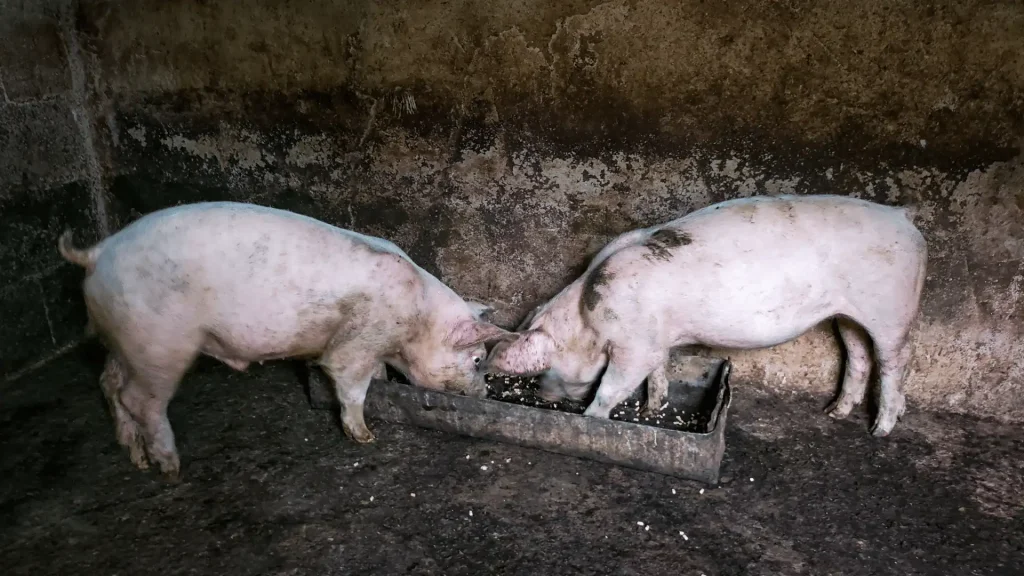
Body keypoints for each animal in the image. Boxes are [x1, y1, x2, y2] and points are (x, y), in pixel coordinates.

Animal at [58, 201, 512, 479]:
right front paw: (365, 437)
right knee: (140, 399)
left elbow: (378, 376)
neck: (415, 318)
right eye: (476, 359)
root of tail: (97, 253)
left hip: (123, 337)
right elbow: (350, 383)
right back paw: (169, 467)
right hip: (158, 340)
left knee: (108, 382)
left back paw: (135, 456)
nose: (486, 394)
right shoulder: (356, 341)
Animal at [487, 194, 927, 437]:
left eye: (546, 368)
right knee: (858, 353)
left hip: (893, 306)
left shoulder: (634, 345)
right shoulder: (656, 339)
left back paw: (880, 430)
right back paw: (834, 413)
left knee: (896, 359)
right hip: (848, 313)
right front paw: (651, 410)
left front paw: (594, 419)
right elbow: (659, 372)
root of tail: (902, 214)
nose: (542, 395)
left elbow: (614, 385)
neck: (588, 319)